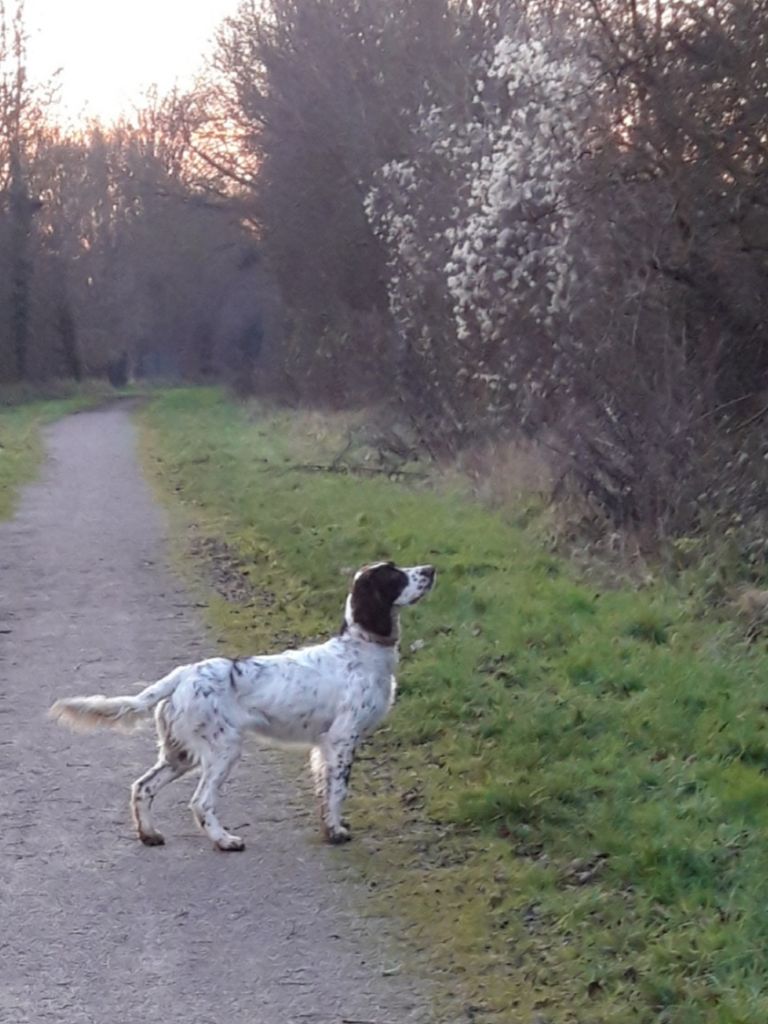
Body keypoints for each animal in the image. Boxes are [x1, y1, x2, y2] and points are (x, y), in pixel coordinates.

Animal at [49, 561, 434, 847]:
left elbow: (326, 792)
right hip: (224, 748)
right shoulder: (342, 738)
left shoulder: (324, 746)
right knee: (200, 801)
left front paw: (330, 827)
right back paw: (225, 840)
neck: (361, 649)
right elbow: (339, 790)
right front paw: (337, 833)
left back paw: (150, 834)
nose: (430, 569)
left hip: (180, 753)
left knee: (143, 787)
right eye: (394, 575)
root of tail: (182, 675)